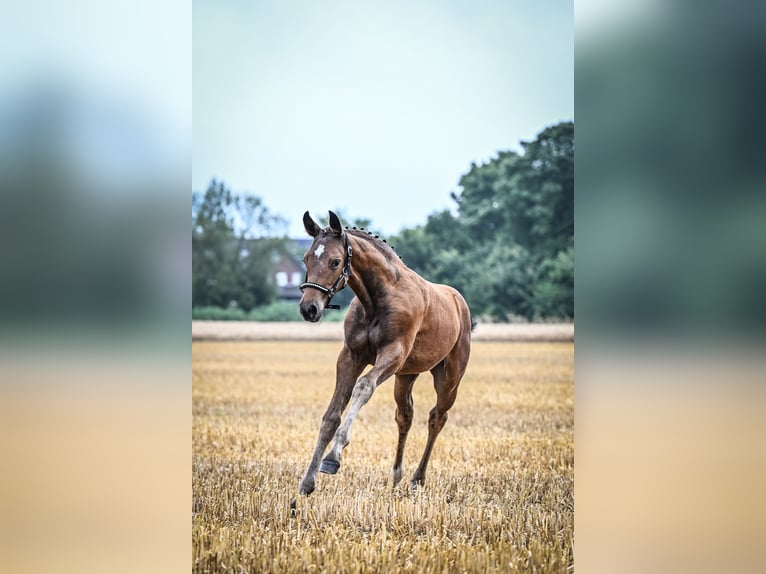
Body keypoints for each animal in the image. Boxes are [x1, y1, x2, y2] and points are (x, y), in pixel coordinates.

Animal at [294, 213, 474, 504]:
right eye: (306, 258)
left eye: (335, 261)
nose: (309, 308)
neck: (377, 299)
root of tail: (459, 302)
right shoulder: (350, 356)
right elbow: (331, 415)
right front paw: (307, 482)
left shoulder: (393, 354)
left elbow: (364, 387)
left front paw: (334, 457)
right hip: (407, 375)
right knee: (405, 415)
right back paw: (397, 475)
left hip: (449, 377)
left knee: (437, 417)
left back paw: (417, 480)